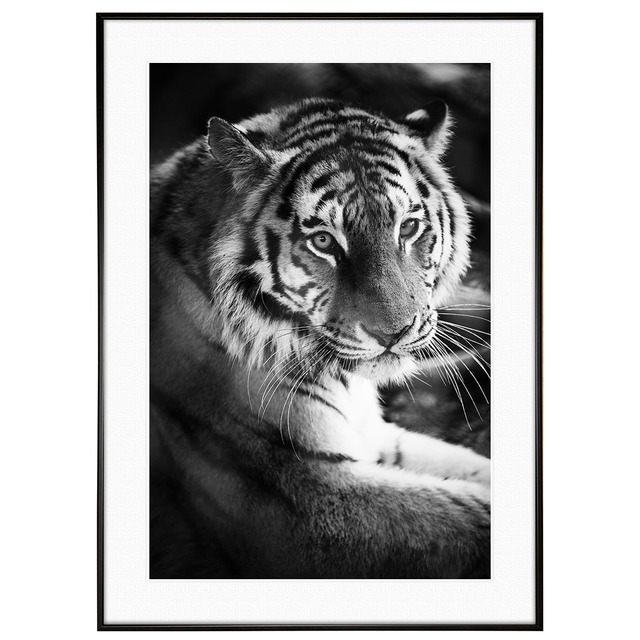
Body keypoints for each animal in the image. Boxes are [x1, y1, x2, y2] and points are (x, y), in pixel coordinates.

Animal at [150, 98, 491, 578]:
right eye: (325, 242)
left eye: (407, 228)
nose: (393, 332)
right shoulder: (303, 502)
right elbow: (470, 515)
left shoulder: (376, 438)